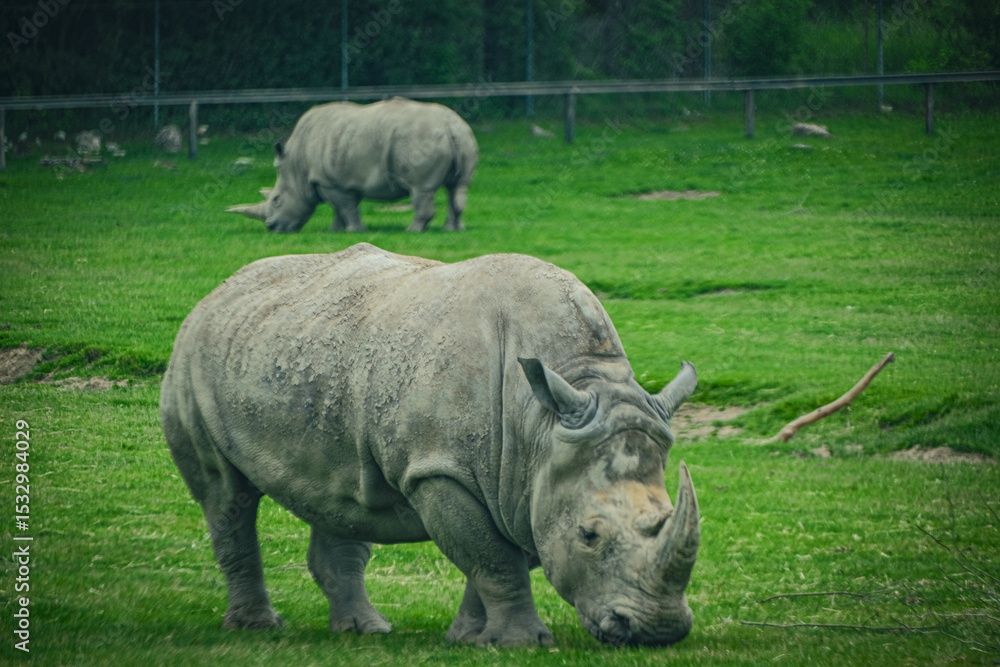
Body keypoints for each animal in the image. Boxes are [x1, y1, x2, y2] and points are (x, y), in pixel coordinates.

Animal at [160, 243, 700, 647]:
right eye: (589, 536)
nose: (658, 631)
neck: (542, 419)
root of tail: (220, 289)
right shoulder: (441, 469)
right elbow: (493, 559)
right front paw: (523, 644)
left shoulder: (524, 479)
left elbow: (495, 557)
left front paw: (470, 640)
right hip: (191, 357)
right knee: (227, 496)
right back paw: (258, 628)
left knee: (341, 494)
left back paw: (364, 631)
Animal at [228, 98, 478, 233]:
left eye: (277, 200)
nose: (271, 228)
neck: (296, 168)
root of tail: (450, 124)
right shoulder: (343, 179)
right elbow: (342, 208)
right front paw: (335, 231)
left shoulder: (330, 181)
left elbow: (345, 207)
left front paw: (355, 231)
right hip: (464, 136)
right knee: (456, 187)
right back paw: (453, 229)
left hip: (420, 138)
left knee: (420, 189)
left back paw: (413, 231)